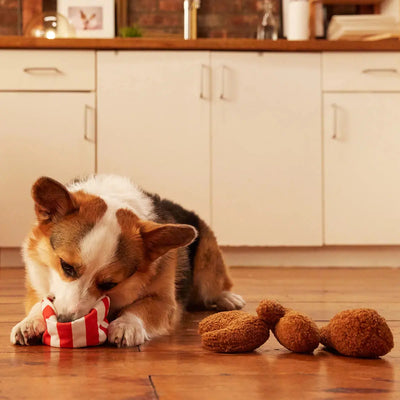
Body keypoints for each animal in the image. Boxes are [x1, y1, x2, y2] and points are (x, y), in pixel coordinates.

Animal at [10, 175, 244, 346]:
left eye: (109, 284)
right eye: (66, 266)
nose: (65, 321)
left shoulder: (165, 301)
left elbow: (141, 308)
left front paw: (126, 325)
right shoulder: (38, 287)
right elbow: (39, 304)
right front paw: (29, 322)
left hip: (207, 267)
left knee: (214, 287)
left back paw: (227, 298)